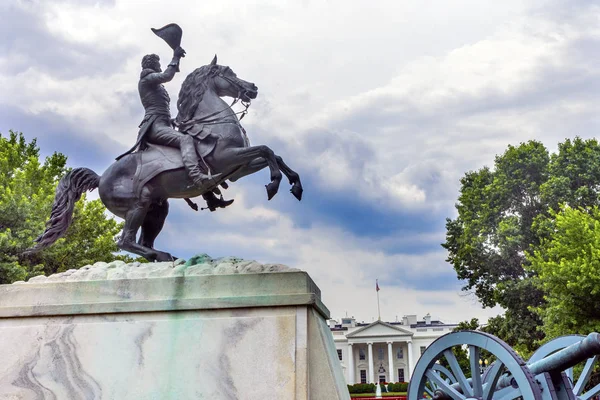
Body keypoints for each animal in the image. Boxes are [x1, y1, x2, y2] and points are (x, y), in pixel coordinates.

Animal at [29, 56, 300, 262]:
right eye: (228, 72)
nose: (253, 88)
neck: (212, 122)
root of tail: (101, 177)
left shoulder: (238, 168)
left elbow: (274, 154)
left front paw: (295, 185)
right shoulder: (226, 159)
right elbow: (266, 150)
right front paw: (274, 184)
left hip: (157, 208)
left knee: (143, 239)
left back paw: (162, 255)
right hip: (138, 204)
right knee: (125, 241)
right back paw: (160, 256)